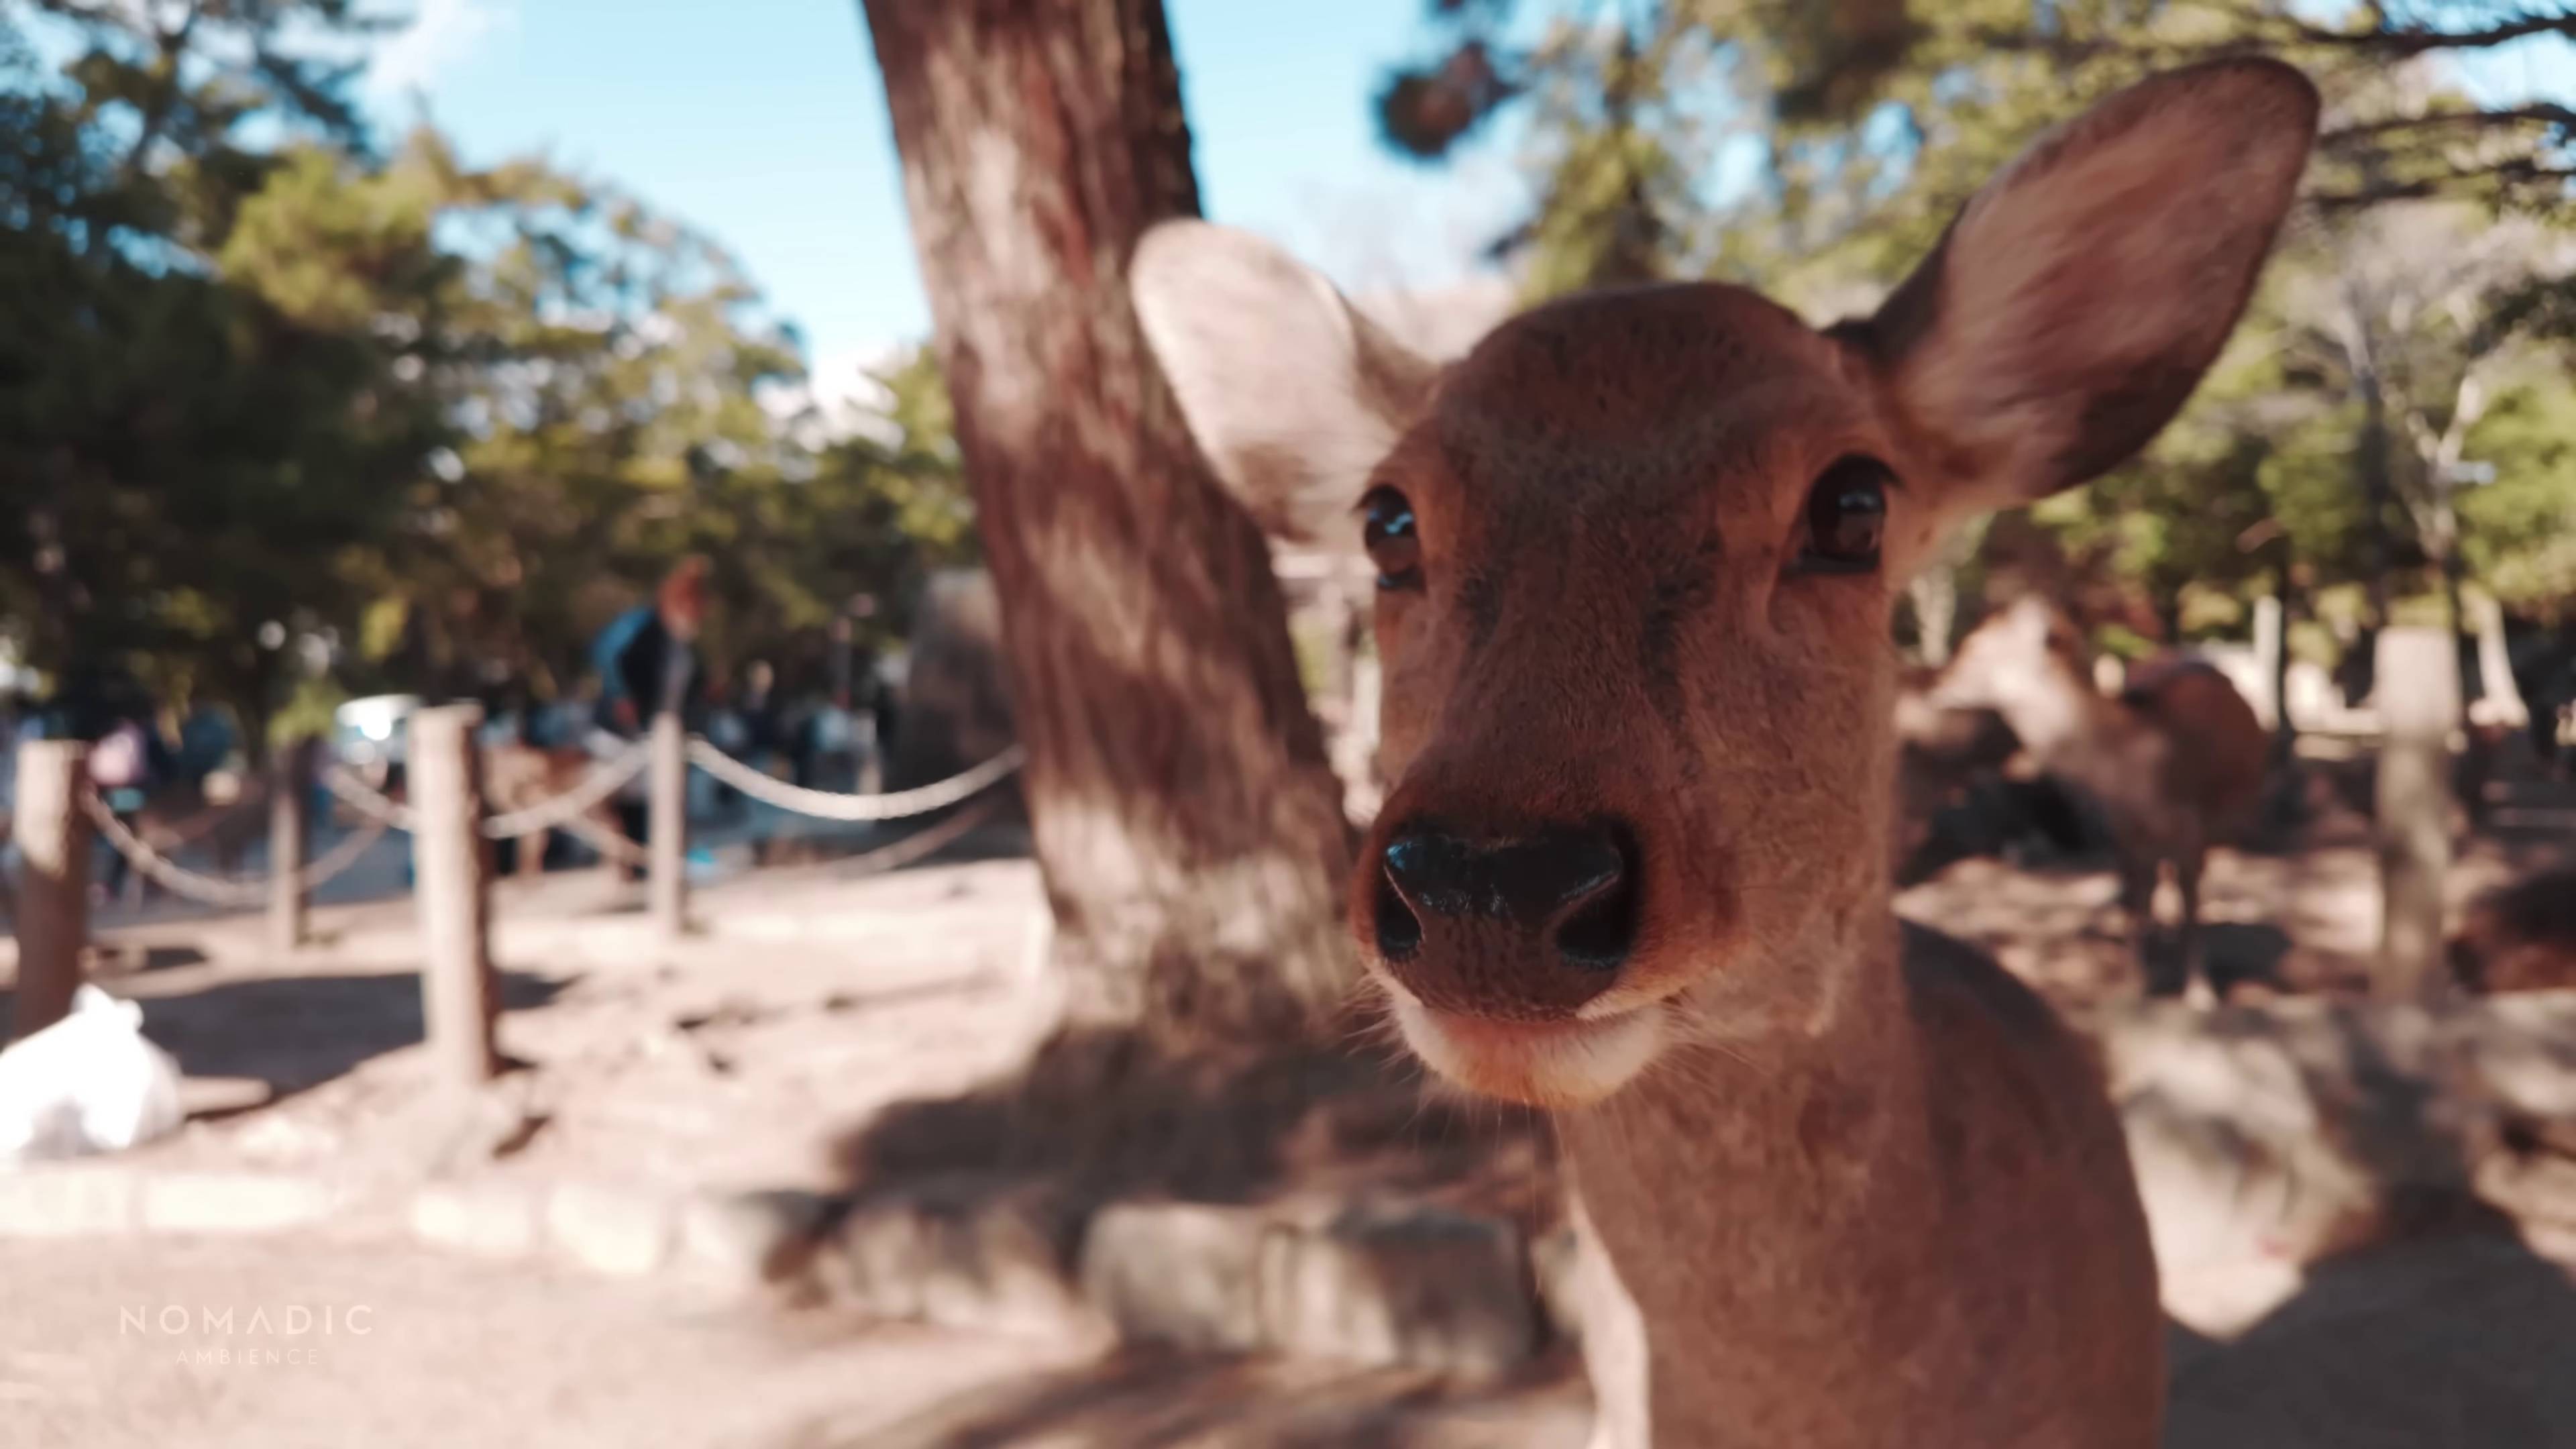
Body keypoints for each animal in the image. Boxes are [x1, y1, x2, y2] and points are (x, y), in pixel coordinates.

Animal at [1937, 592, 2277, 1000]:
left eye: (1975, 645)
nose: (1937, 683)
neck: (2130, 773)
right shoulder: (2122, 832)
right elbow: (2134, 902)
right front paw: (2137, 984)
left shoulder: (2191, 828)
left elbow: (2190, 906)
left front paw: (2200, 993)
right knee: (2151, 887)